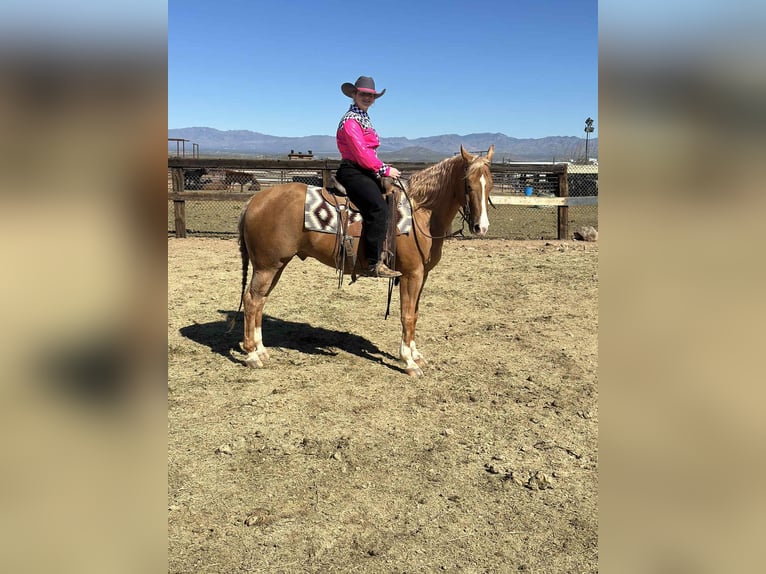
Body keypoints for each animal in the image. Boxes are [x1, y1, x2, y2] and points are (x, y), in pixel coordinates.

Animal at [236, 144, 494, 377]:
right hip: (266, 267)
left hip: (275, 266)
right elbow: (407, 315)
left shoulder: (423, 275)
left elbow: (415, 313)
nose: (481, 227)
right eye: (468, 184)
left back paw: (261, 350)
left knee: (260, 301)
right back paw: (251, 355)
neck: (420, 212)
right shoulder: (411, 274)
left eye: (489, 185)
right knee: (251, 301)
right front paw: (409, 362)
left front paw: (416, 354)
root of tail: (254, 200)